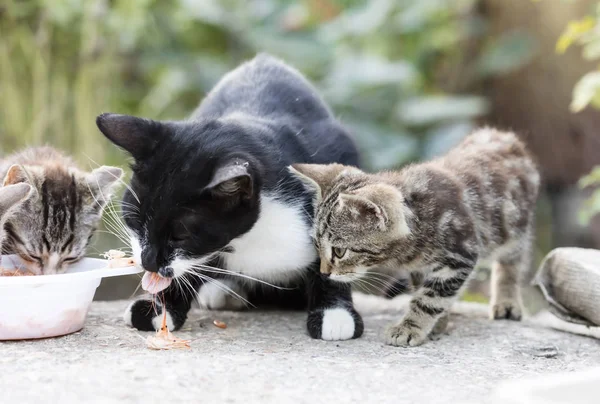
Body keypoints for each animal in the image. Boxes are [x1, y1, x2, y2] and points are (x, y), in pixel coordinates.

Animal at [290, 129, 540, 348]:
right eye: (316, 245)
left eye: (339, 251)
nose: (324, 273)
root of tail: (503, 135)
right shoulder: (421, 267)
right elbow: (424, 290)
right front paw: (438, 323)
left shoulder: (460, 256)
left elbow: (429, 299)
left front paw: (410, 328)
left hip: (514, 229)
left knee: (512, 263)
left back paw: (507, 301)